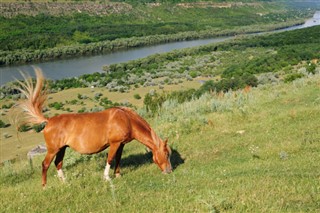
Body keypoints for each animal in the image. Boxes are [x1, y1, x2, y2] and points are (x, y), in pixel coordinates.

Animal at [11, 68, 172, 186]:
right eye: (166, 154)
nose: (169, 171)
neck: (126, 119)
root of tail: (49, 121)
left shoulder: (120, 145)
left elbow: (118, 159)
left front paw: (118, 174)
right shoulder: (114, 144)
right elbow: (110, 159)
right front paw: (107, 177)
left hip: (62, 149)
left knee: (58, 163)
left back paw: (65, 182)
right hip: (52, 149)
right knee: (45, 164)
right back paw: (45, 186)